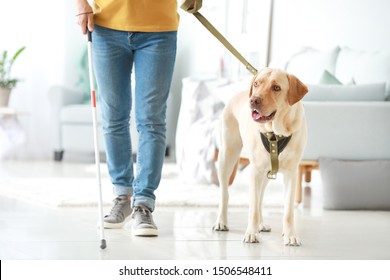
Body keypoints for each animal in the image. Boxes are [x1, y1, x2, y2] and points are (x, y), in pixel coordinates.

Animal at [213, 67, 308, 245]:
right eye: (257, 84)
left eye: (276, 87)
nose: (253, 100)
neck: (276, 133)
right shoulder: (255, 171)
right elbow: (253, 209)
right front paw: (251, 233)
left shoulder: (291, 174)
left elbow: (288, 211)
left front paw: (290, 234)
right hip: (226, 156)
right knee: (224, 194)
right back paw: (221, 221)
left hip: (267, 173)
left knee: (260, 198)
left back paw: (261, 224)